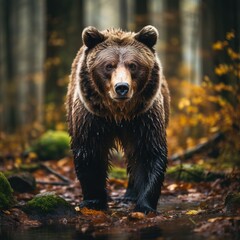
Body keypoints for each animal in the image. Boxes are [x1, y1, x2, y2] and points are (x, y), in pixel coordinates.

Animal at [66, 25, 170, 214]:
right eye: (109, 66)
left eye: (133, 65)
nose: (122, 87)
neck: (118, 114)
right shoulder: (92, 117)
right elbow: (90, 152)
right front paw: (94, 201)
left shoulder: (144, 116)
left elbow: (148, 152)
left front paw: (145, 205)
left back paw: (130, 194)